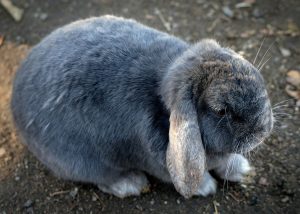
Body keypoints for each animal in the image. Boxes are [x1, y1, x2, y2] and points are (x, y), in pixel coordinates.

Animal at [11, 15, 274, 199]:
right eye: (221, 110)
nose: (264, 129)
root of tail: (15, 102)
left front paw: (242, 169)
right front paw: (206, 187)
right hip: (84, 162)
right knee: (101, 178)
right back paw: (131, 184)